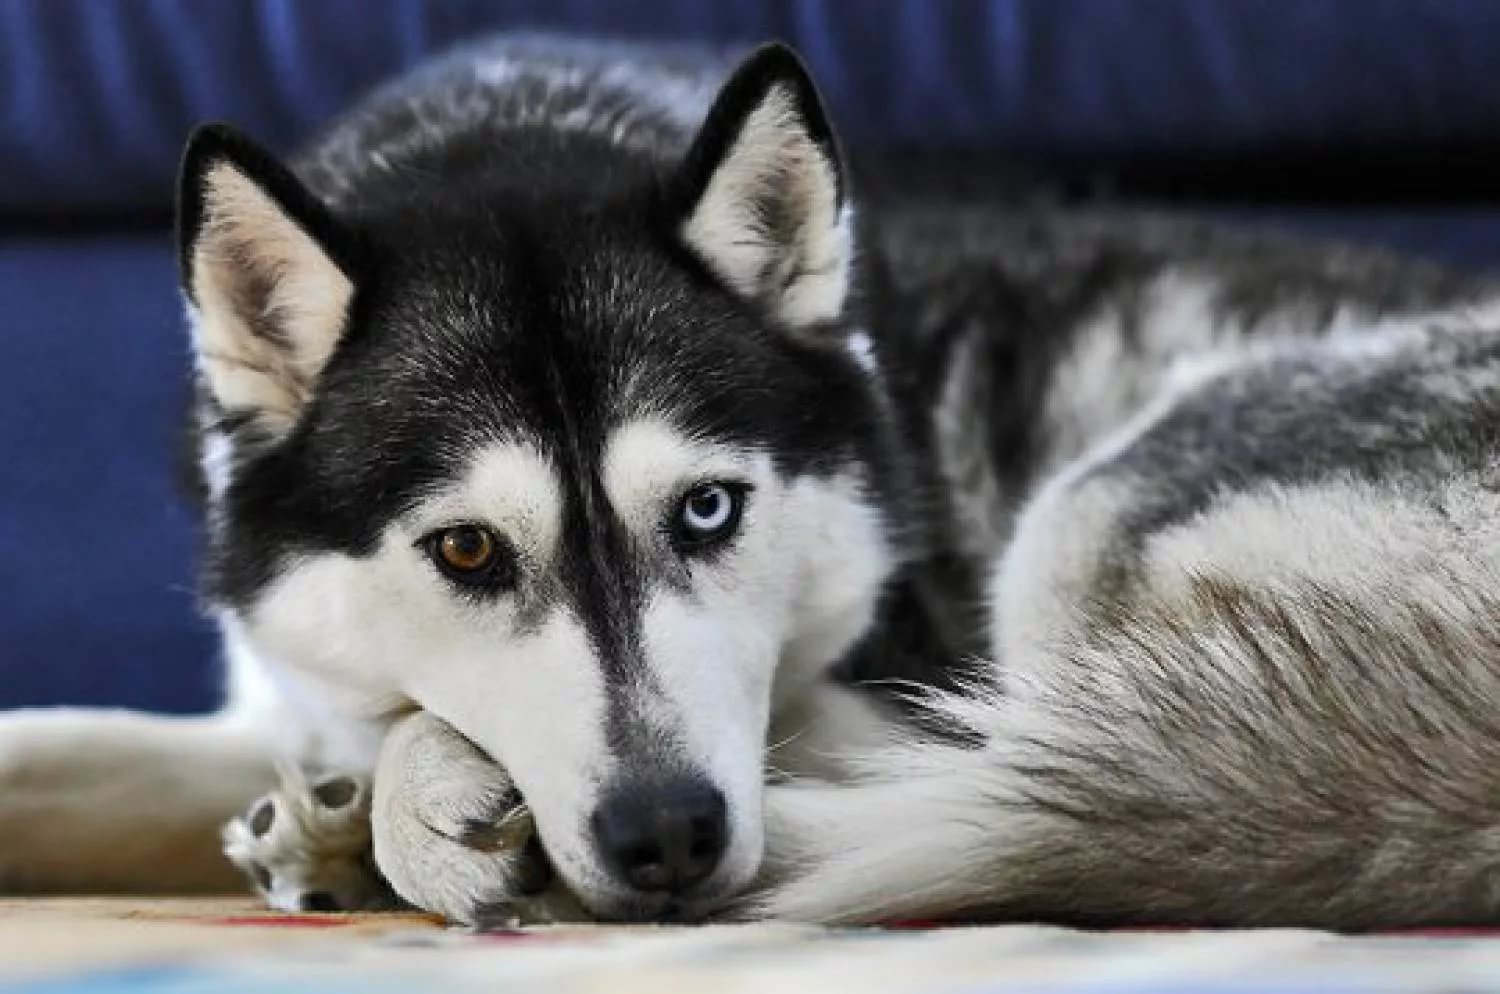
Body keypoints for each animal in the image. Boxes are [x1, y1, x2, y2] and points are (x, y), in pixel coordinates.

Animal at [8, 35, 1500, 929]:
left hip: (1086, 520)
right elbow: (81, 750)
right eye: (468, 550)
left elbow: (407, 735)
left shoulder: (885, 695)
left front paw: (402, 813)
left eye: (709, 507)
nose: (667, 835)